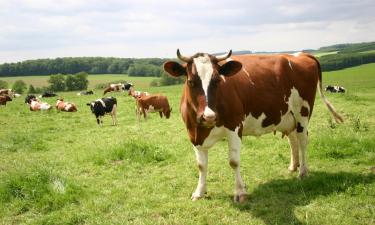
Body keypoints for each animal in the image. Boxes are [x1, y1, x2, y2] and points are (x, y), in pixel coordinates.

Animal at [164, 48, 344, 202]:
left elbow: (234, 161)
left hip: (303, 112)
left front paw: (240, 192)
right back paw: (293, 166)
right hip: (288, 116)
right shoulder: (194, 133)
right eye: (190, 81)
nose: (208, 117)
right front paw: (199, 192)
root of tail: (300, 55)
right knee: (292, 139)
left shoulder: (235, 127)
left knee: (302, 140)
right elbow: (201, 165)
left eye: (217, 80)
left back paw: (303, 172)